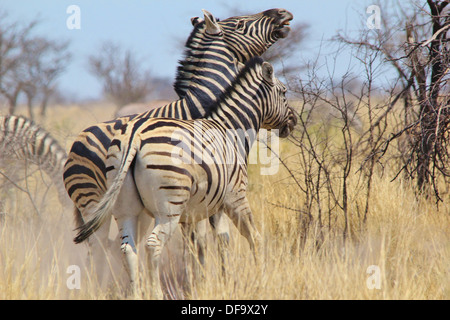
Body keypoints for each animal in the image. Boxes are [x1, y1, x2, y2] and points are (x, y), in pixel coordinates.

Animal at [64, 7, 296, 272]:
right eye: (237, 23)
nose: (283, 13)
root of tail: (76, 143)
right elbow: (206, 240)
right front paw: (204, 275)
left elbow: (211, 240)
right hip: (94, 199)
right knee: (100, 249)